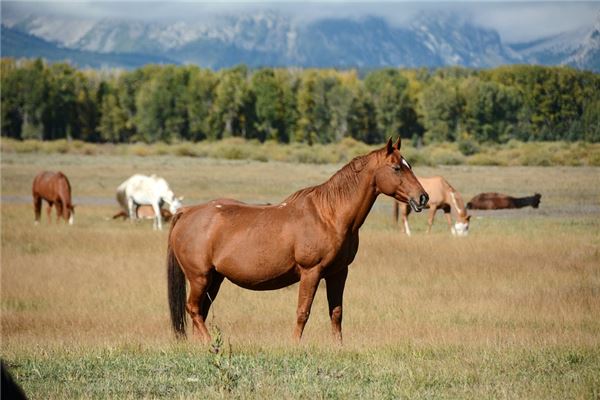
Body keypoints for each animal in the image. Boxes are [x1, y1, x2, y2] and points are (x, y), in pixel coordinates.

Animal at [166, 138, 428, 344]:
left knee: (201, 311)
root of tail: (187, 212)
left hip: (215, 279)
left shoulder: (338, 273)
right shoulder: (311, 272)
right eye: (396, 168)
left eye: (409, 166)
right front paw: (295, 345)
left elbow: (336, 312)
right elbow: (303, 311)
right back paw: (211, 345)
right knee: (194, 309)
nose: (423, 198)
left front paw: (339, 347)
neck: (328, 215)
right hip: (199, 277)